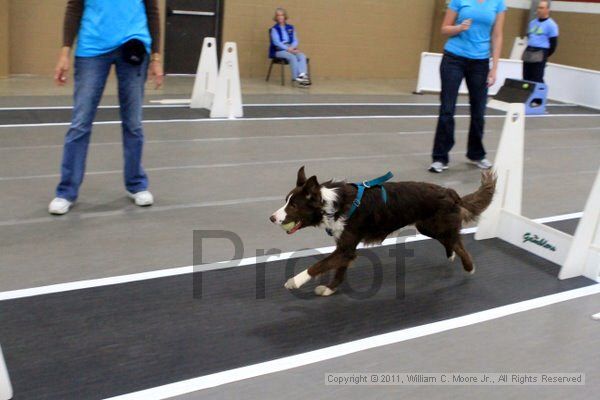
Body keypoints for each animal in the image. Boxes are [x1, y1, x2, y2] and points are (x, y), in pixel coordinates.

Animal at [270, 166, 496, 296]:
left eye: (294, 206)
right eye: (286, 201)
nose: (272, 218)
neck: (331, 205)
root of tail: (450, 192)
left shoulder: (345, 247)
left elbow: (318, 265)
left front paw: (294, 282)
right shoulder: (345, 247)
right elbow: (339, 268)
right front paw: (330, 288)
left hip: (434, 225)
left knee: (457, 241)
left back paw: (469, 267)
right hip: (426, 226)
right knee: (451, 240)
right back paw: (451, 255)